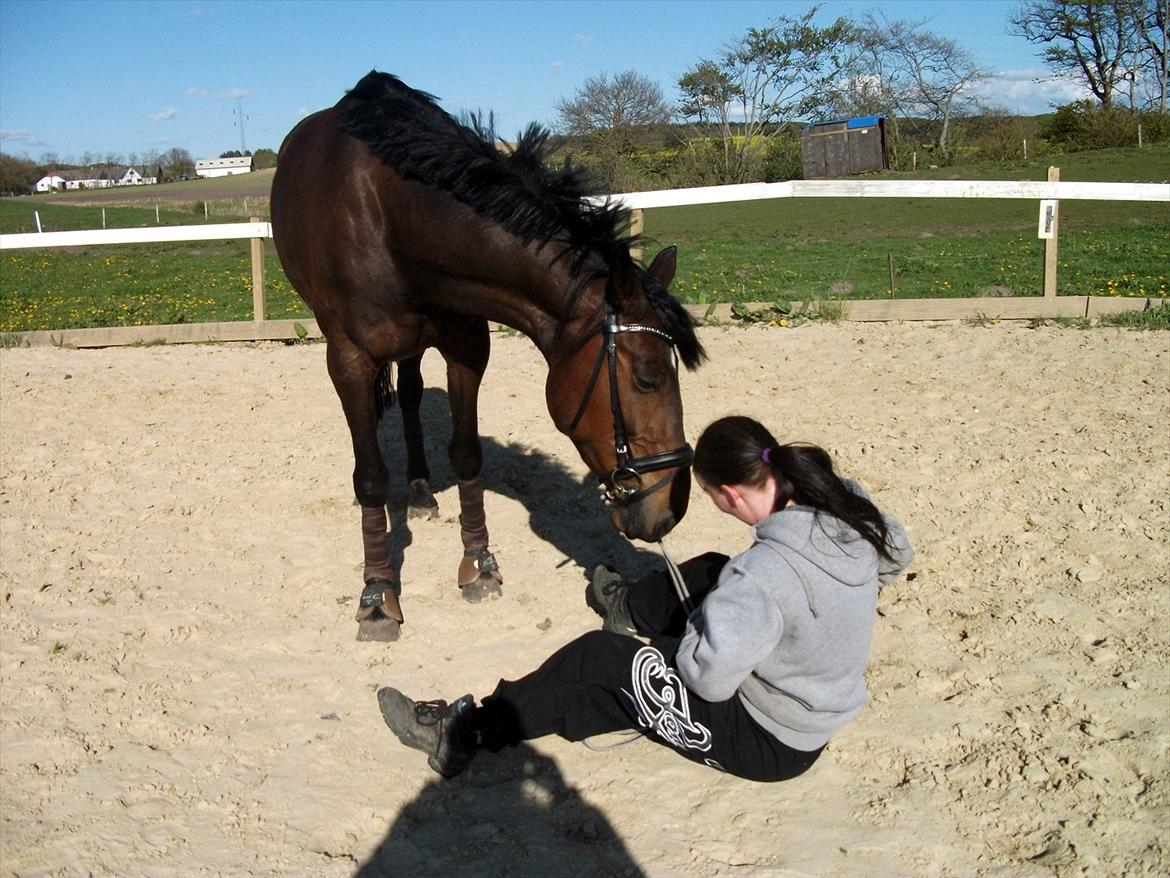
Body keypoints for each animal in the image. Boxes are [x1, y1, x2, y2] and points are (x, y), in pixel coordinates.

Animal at [271, 72, 702, 641]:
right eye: (649, 378)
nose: (672, 508)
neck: (393, 221)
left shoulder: (468, 346)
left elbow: (467, 454)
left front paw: (478, 563)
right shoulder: (348, 362)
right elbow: (369, 479)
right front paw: (378, 593)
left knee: (411, 394)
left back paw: (420, 489)